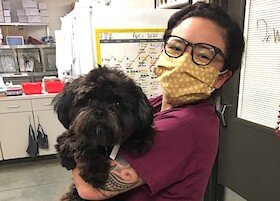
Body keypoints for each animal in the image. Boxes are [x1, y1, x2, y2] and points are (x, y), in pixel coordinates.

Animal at [51, 66, 154, 200]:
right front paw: (94, 169)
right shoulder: (69, 136)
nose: (100, 111)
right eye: (89, 99)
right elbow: (81, 141)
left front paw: (139, 140)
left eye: (117, 104)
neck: (105, 145)